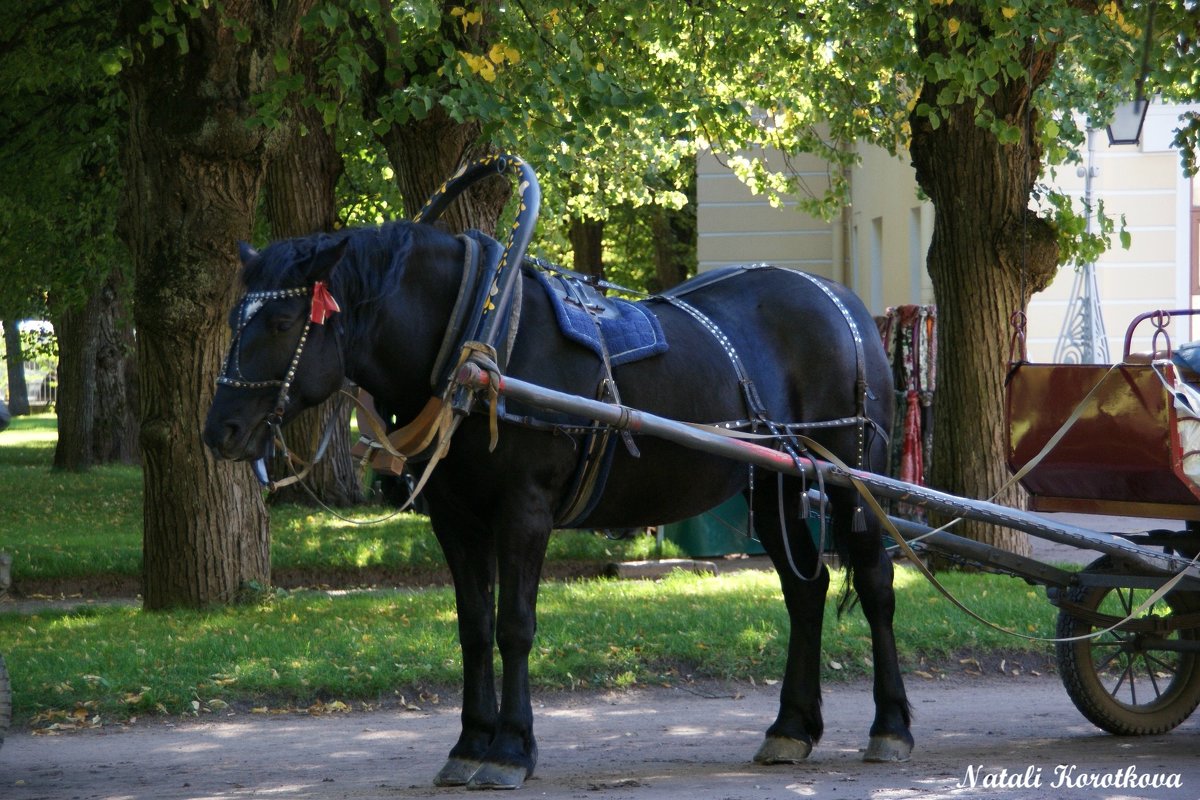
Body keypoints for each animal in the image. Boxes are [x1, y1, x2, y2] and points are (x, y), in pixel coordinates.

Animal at [204, 217, 907, 786]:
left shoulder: (525, 511)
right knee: (804, 593)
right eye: (237, 319)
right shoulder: (456, 519)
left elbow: (514, 626)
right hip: (777, 482)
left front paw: (511, 750)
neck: (480, 339)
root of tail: (843, 300)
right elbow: (473, 627)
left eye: (282, 322)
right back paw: (791, 728)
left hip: (853, 479)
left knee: (875, 585)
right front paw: (469, 744)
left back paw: (891, 726)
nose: (219, 431)